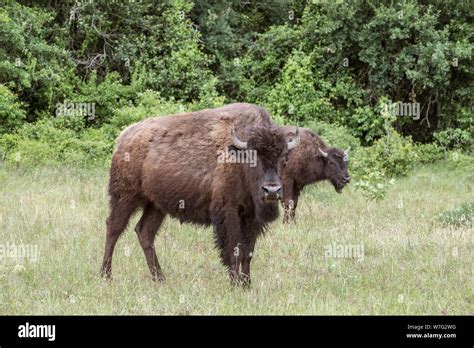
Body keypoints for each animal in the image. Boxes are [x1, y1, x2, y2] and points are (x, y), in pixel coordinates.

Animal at [100, 102, 300, 286]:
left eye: (284, 157)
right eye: (253, 158)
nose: (272, 190)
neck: (238, 159)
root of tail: (124, 138)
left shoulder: (251, 218)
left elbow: (247, 252)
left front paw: (246, 284)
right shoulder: (229, 212)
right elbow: (234, 249)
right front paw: (235, 285)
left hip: (155, 205)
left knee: (144, 232)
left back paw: (160, 279)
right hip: (125, 197)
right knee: (113, 227)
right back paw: (106, 275)